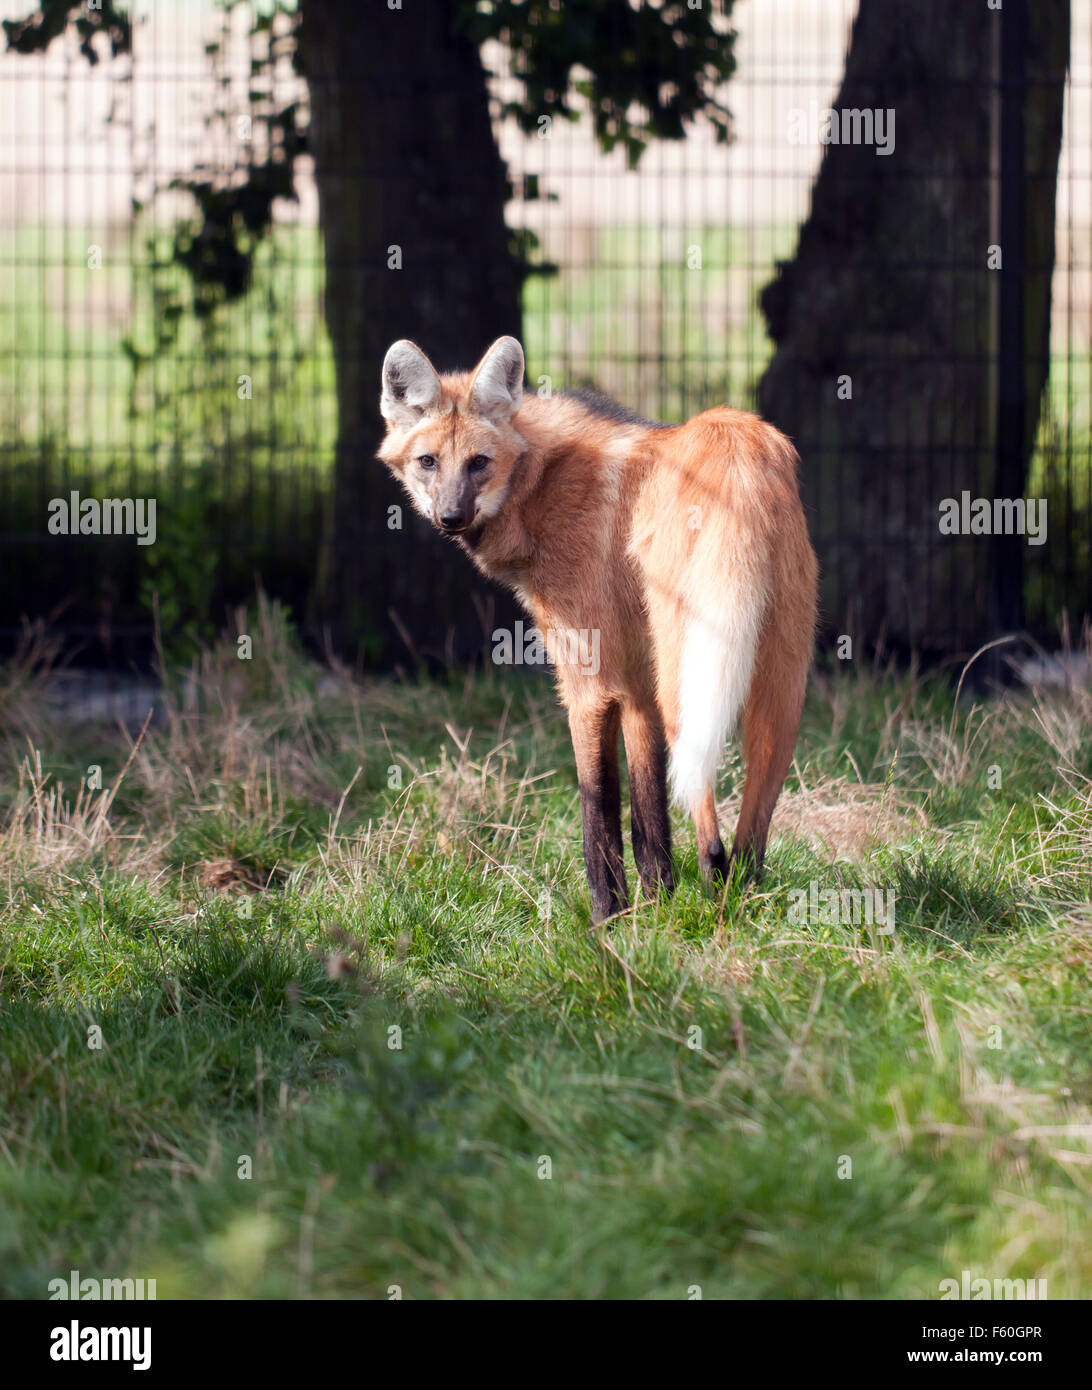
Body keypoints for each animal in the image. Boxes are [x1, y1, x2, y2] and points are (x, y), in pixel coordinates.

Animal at [377, 336, 811, 922]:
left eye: (478, 463)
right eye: (428, 462)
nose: (450, 517)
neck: (540, 480)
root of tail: (740, 436)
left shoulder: (589, 685)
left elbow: (597, 805)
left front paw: (608, 918)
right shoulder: (636, 683)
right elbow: (648, 815)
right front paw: (657, 910)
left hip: (688, 673)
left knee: (707, 811)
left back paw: (713, 890)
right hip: (778, 682)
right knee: (754, 824)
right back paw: (738, 897)